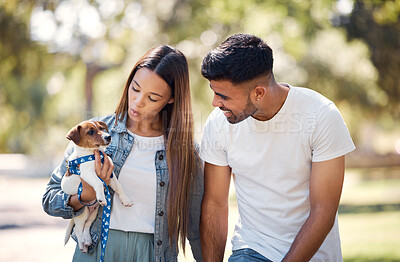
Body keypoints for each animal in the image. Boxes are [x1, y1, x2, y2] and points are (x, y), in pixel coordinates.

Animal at [61, 120, 133, 252]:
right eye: (90, 131)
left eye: (101, 128)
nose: (108, 137)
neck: (93, 154)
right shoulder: (87, 173)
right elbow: (99, 182)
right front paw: (102, 197)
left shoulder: (110, 175)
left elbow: (119, 186)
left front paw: (126, 200)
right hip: (83, 212)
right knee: (78, 228)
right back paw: (82, 245)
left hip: (93, 213)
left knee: (87, 225)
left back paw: (87, 240)